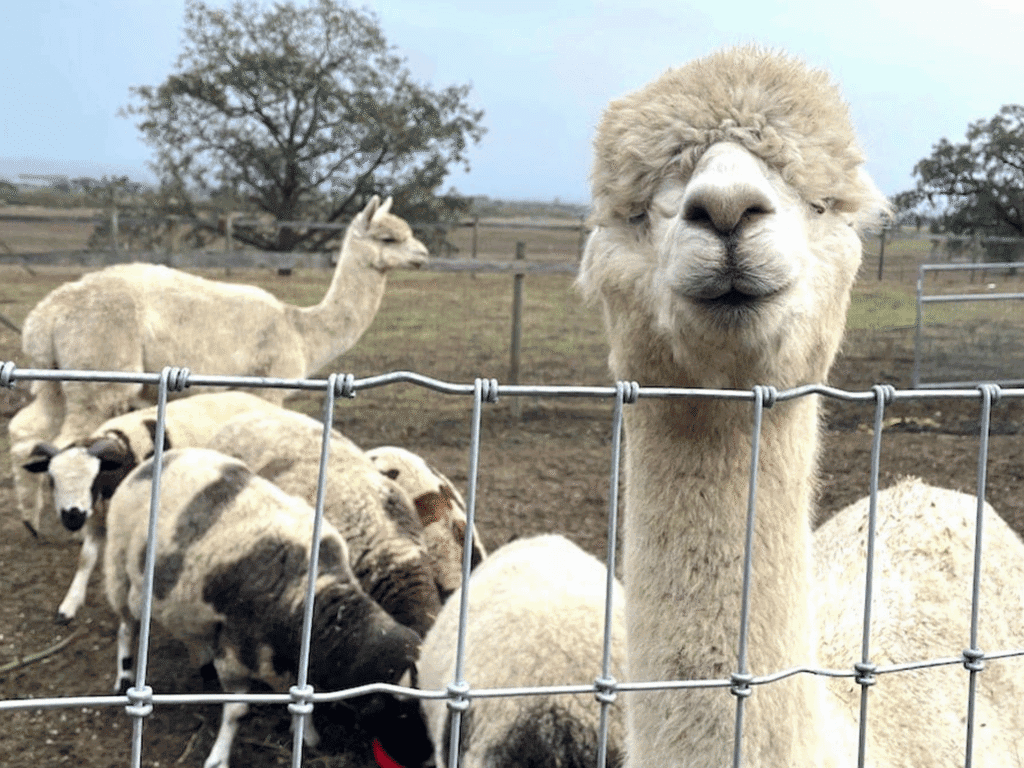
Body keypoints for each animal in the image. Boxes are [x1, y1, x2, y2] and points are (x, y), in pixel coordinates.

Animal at [21, 391, 281, 625]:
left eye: (94, 479)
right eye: (51, 480)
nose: (72, 518)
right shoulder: (97, 519)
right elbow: (85, 559)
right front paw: (69, 605)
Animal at [104, 447, 423, 768]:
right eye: (403, 714)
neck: (315, 597)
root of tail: (160, 458)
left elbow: (301, 694)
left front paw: (306, 734)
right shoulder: (236, 648)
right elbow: (237, 711)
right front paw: (218, 757)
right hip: (119, 572)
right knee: (126, 627)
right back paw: (125, 675)